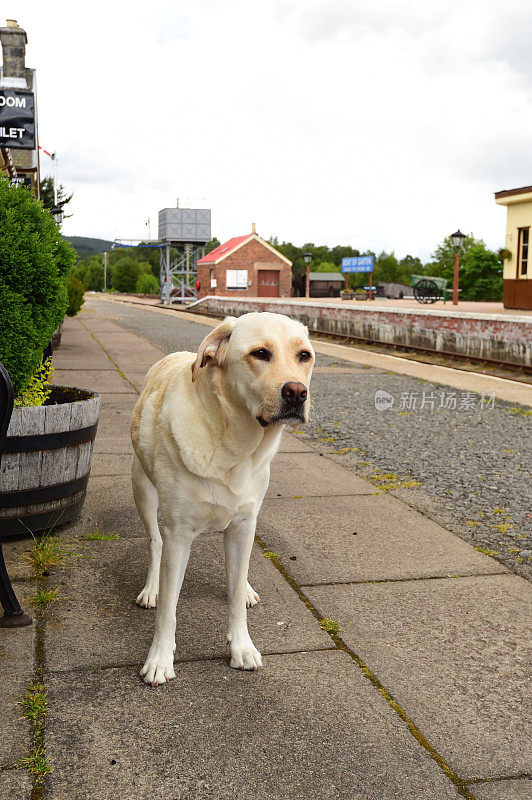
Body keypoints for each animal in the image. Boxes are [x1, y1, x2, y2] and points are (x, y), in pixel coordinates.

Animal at [131, 310, 314, 684]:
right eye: (260, 353)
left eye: (304, 355)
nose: (297, 392)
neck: (236, 445)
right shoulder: (178, 535)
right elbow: (169, 609)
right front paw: (159, 659)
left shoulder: (244, 525)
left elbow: (233, 595)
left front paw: (241, 647)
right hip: (142, 489)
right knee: (155, 542)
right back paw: (151, 588)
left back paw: (244, 589)